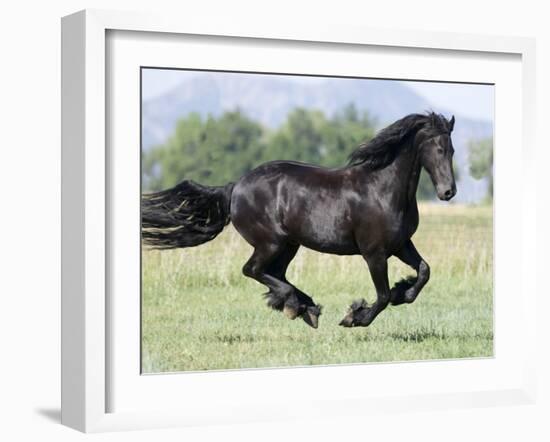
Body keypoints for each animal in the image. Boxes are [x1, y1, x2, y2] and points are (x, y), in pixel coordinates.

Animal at [141, 113, 458, 328]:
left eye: (452, 150)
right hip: (270, 242)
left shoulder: (401, 244)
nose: (448, 192)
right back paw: (299, 306)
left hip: (288, 245)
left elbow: (424, 271)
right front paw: (354, 316)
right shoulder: (374, 253)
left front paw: (402, 291)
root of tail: (235, 186)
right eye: (438, 149)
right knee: (253, 270)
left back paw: (303, 307)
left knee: (274, 274)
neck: (382, 189)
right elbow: (380, 296)